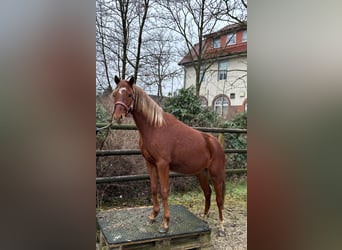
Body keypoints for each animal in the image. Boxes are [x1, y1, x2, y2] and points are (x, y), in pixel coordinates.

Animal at [111, 75, 226, 234]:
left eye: (129, 94)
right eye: (115, 94)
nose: (118, 117)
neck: (155, 127)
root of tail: (216, 143)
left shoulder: (163, 165)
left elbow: (164, 191)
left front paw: (165, 223)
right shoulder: (150, 163)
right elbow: (154, 188)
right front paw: (153, 215)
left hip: (216, 174)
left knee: (219, 198)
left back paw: (221, 226)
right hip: (201, 173)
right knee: (207, 192)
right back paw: (205, 219)